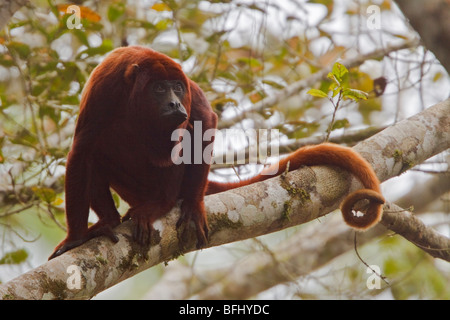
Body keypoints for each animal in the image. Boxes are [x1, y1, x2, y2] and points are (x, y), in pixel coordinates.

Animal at [49, 45, 384, 260]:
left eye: (176, 87)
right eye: (159, 89)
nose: (175, 103)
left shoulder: (188, 87)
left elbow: (204, 120)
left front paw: (193, 205)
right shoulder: (105, 88)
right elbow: (82, 148)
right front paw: (75, 238)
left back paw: (162, 204)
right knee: (98, 151)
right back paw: (108, 221)